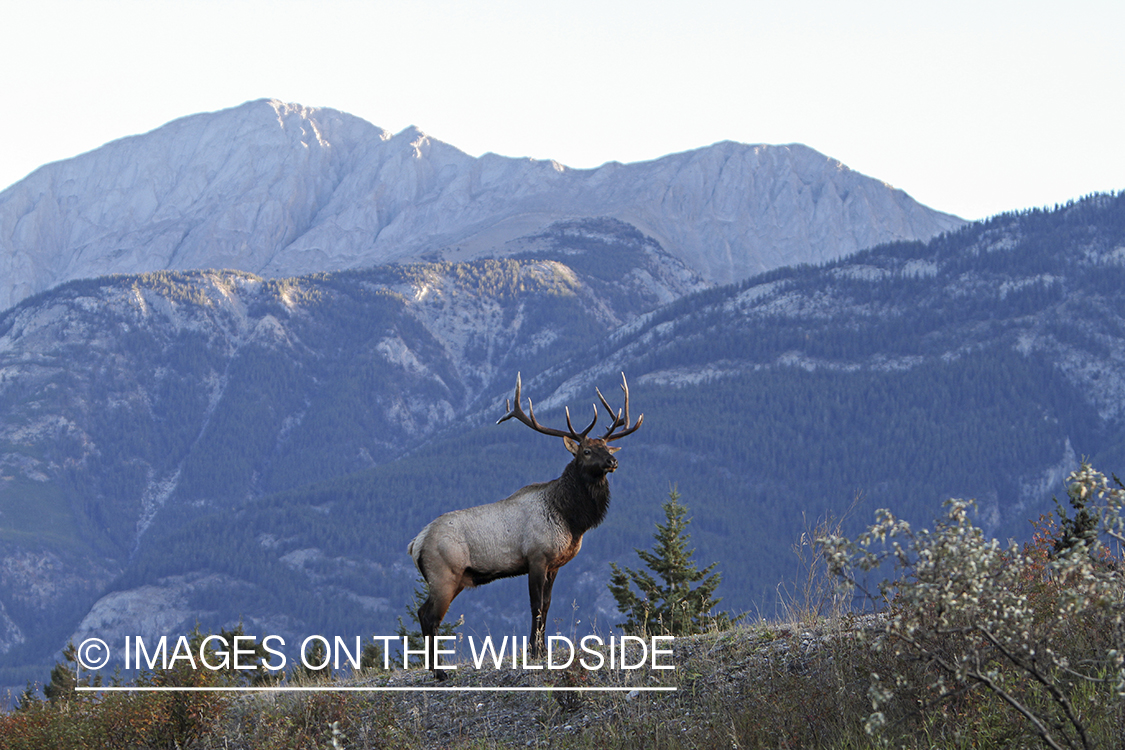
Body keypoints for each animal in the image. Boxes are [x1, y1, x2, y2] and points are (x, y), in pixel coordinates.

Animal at [411, 373, 643, 679]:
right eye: (587, 450)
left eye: (606, 447)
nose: (612, 461)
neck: (571, 519)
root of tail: (415, 543)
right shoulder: (536, 557)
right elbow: (534, 606)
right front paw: (533, 652)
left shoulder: (555, 564)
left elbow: (546, 605)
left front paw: (542, 650)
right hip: (444, 574)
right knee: (428, 615)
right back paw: (438, 672)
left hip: (454, 579)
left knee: (422, 613)